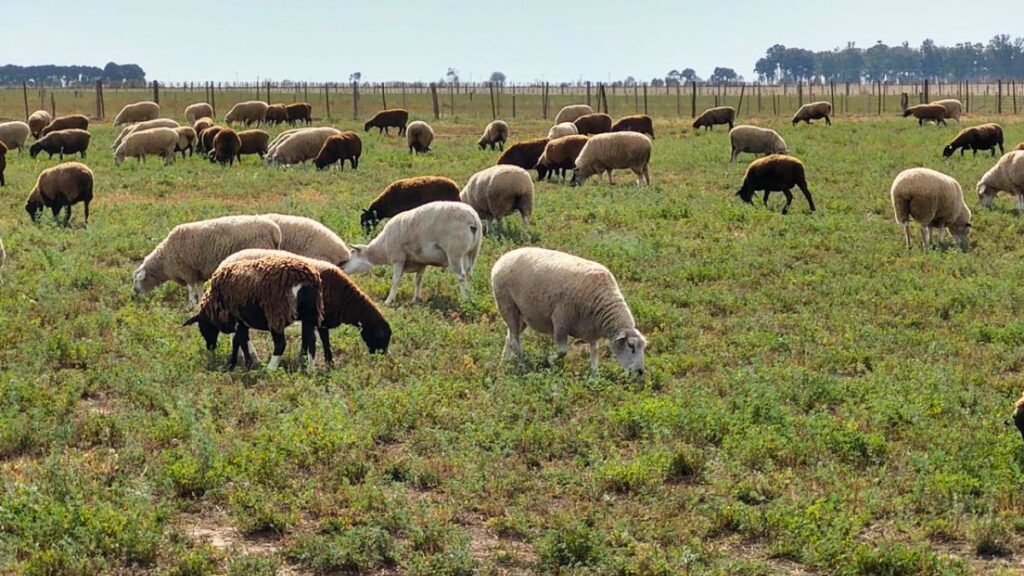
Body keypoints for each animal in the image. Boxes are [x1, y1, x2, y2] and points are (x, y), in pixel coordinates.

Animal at [133, 215, 283, 306]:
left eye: (138, 280)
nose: (134, 293)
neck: (164, 260)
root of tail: (275, 230)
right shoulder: (197, 271)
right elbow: (198, 287)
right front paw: (200, 301)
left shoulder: (187, 270)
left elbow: (190, 288)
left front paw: (191, 304)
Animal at [183, 256, 323, 371]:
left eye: (202, 327)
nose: (210, 347)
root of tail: (306, 279)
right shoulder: (241, 321)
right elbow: (241, 340)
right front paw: (244, 363)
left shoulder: (235, 319)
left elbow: (240, 341)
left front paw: (239, 364)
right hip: (310, 315)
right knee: (311, 339)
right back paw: (310, 369)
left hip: (276, 314)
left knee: (281, 344)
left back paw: (270, 369)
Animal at [219, 249, 392, 361]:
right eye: (381, 337)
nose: (381, 359)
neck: (345, 298)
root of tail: (224, 262)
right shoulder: (319, 317)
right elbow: (320, 339)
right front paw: (322, 361)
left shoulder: (317, 318)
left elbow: (315, 339)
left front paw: (316, 360)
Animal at [344, 201, 482, 305]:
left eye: (352, 253)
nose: (342, 268)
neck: (382, 248)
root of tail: (473, 219)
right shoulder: (421, 261)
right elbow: (418, 280)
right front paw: (416, 299)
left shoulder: (398, 258)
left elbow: (395, 280)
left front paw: (389, 300)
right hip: (471, 252)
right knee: (469, 275)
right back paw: (470, 297)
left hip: (455, 251)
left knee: (461, 276)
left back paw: (464, 299)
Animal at [490, 247, 646, 374]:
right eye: (631, 346)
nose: (640, 372)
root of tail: (503, 258)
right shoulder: (560, 321)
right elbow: (563, 352)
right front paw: (548, 361)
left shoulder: (591, 330)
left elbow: (594, 352)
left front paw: (594, 376)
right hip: (507, 305)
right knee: (515, 341)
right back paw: (525, 363)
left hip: (522, 315)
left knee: (510, 337)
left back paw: (504, 363)